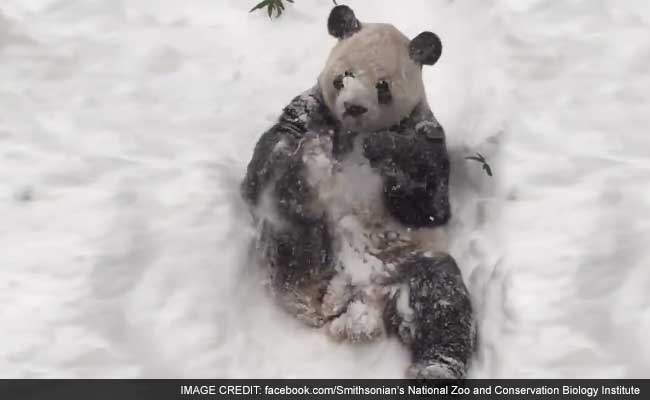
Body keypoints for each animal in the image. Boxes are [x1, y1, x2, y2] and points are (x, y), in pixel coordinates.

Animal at [241, 5, 474, 379]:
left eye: (383, 87)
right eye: (344, 77)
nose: (353, 107)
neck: (352, 133)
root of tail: (359, 302)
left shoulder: (425, 129)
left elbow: (430, 203)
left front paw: (384, 147)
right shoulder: (311, 109)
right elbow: (264, 164)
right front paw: (299, 159)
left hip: (412, 262)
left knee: (443, 301)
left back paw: (435, 370)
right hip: (304, 246)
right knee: (296, 240)